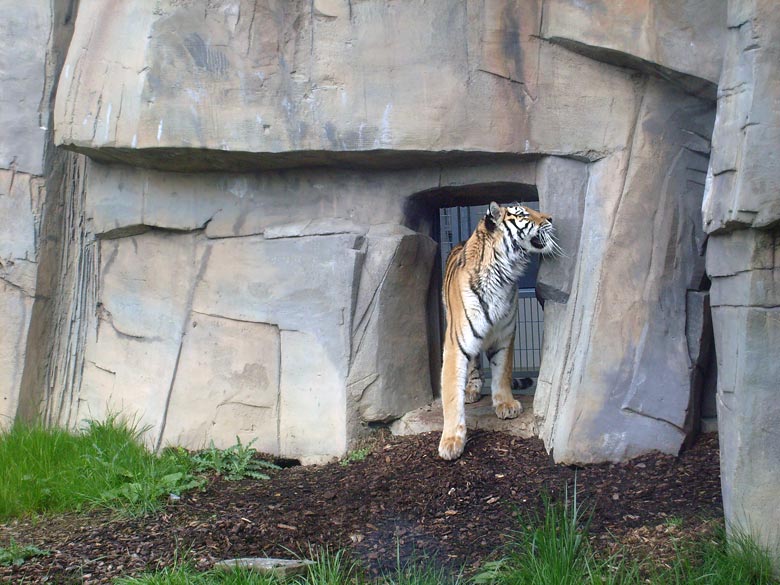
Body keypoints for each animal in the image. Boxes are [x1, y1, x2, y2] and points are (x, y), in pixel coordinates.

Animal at [438, 201, 560, 460]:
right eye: (524, 214)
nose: (551, 218)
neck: (502, 273)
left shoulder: (505, 335)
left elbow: (502, 371)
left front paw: (506, 404)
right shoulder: (456, 343)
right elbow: (451, 393)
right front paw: (451, 441)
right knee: (474, 365)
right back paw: (472, 389)